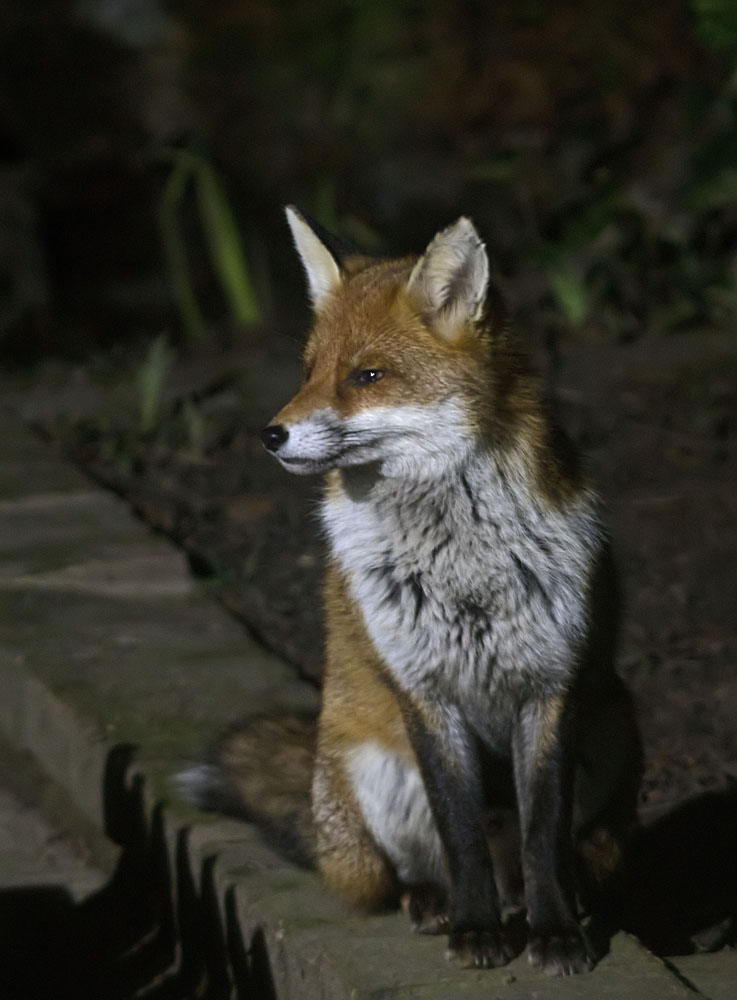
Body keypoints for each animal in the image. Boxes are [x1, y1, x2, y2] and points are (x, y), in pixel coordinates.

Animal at [184, 207, 642, 977]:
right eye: (307, 372)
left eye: (366, 375)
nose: (269, 435)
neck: (461, 565)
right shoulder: (425, 693)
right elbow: (459, 834)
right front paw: (477, 930)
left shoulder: (548, 689)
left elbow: (543, 838)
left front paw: (553, 932)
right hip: (377, 769)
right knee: (404, 872)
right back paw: (433, 904)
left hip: (611, 727)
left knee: (559, 852)